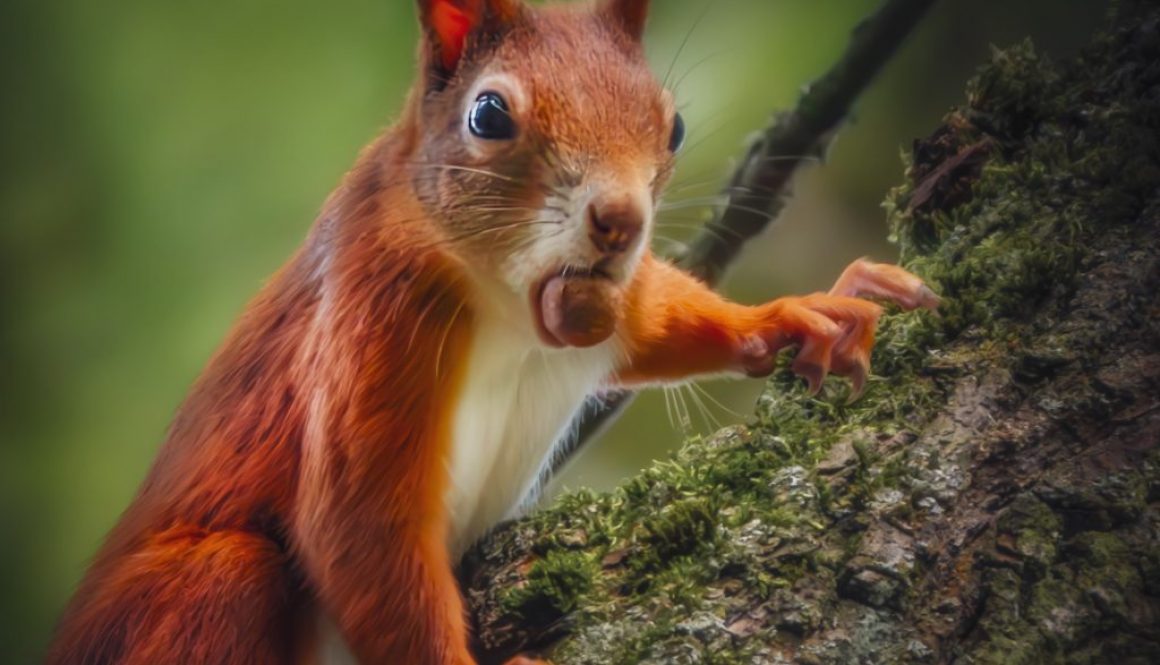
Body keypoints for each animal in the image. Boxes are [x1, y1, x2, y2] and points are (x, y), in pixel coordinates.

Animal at [45, 1, 937, 663]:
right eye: (488, 113)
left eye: (675, 126)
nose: (620, 220)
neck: (514, 310)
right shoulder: (373, 315)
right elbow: (360, 529)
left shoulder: (612, 305)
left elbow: (657, 320)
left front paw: (799, 313)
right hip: (185, 593)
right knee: (230, 577)